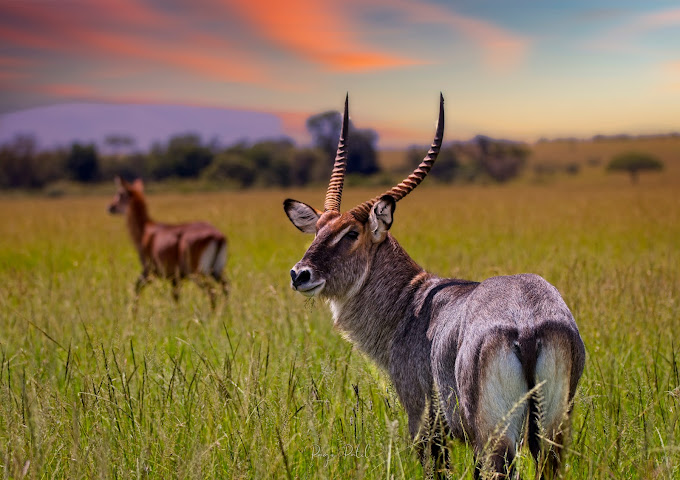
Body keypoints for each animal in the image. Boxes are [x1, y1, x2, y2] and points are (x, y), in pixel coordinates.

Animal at [108, 177, 228, 308]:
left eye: (120, 193)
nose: (110, 207)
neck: (145, 230)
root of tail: (218, 236)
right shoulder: (175, 278)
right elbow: (176, 297)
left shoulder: (149, 270)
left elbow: (137, 288)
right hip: (216, 271)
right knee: (226, 288)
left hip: (197, 273)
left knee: (212, 292)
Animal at [282, 95, 584, 478]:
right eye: (319, 229)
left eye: (351, 233)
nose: (300, 274)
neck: (411, 301)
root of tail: (528, 325)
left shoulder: (424, 423)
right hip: (550, 433)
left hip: (496, 438)